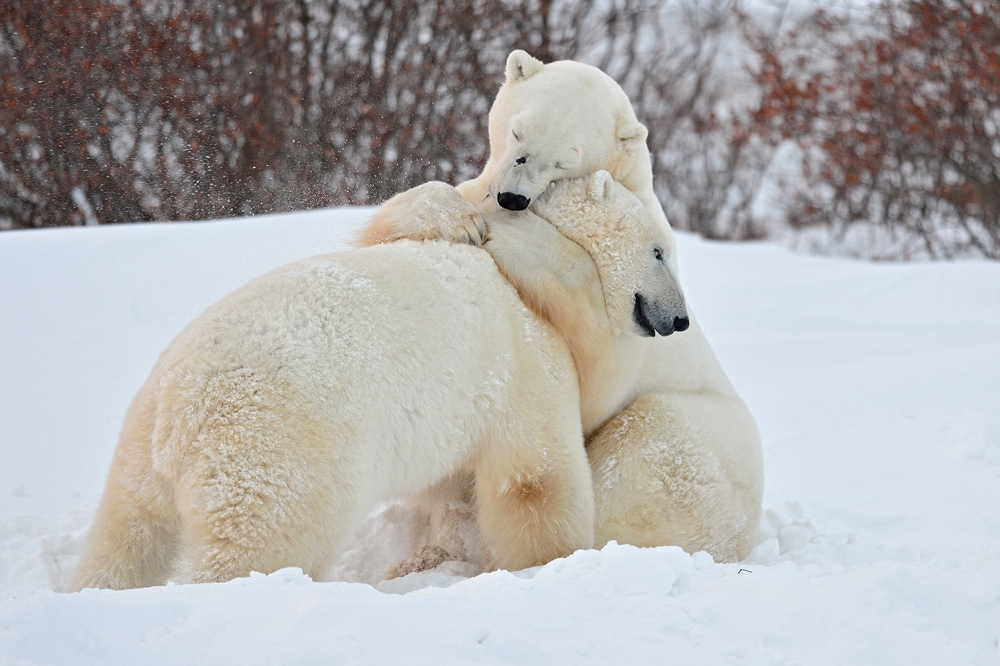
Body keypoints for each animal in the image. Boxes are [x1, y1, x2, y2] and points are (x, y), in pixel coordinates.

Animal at [68, 169, 680, 588]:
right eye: (659, 252)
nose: (680, 320)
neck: (527, 287)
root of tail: (182, 411)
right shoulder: (526, 362)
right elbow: (536, 480)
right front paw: (549, 563)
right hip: (278, 451)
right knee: (261, 543)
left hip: (138, 454)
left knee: (126, 539)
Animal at [368, 49, 764, 564]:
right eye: (517, 132)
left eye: (561, 160)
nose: (511, 197)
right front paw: (458, 218)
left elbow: (592, 374)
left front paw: (508, 234)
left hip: (699, 446)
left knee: (646, 443)